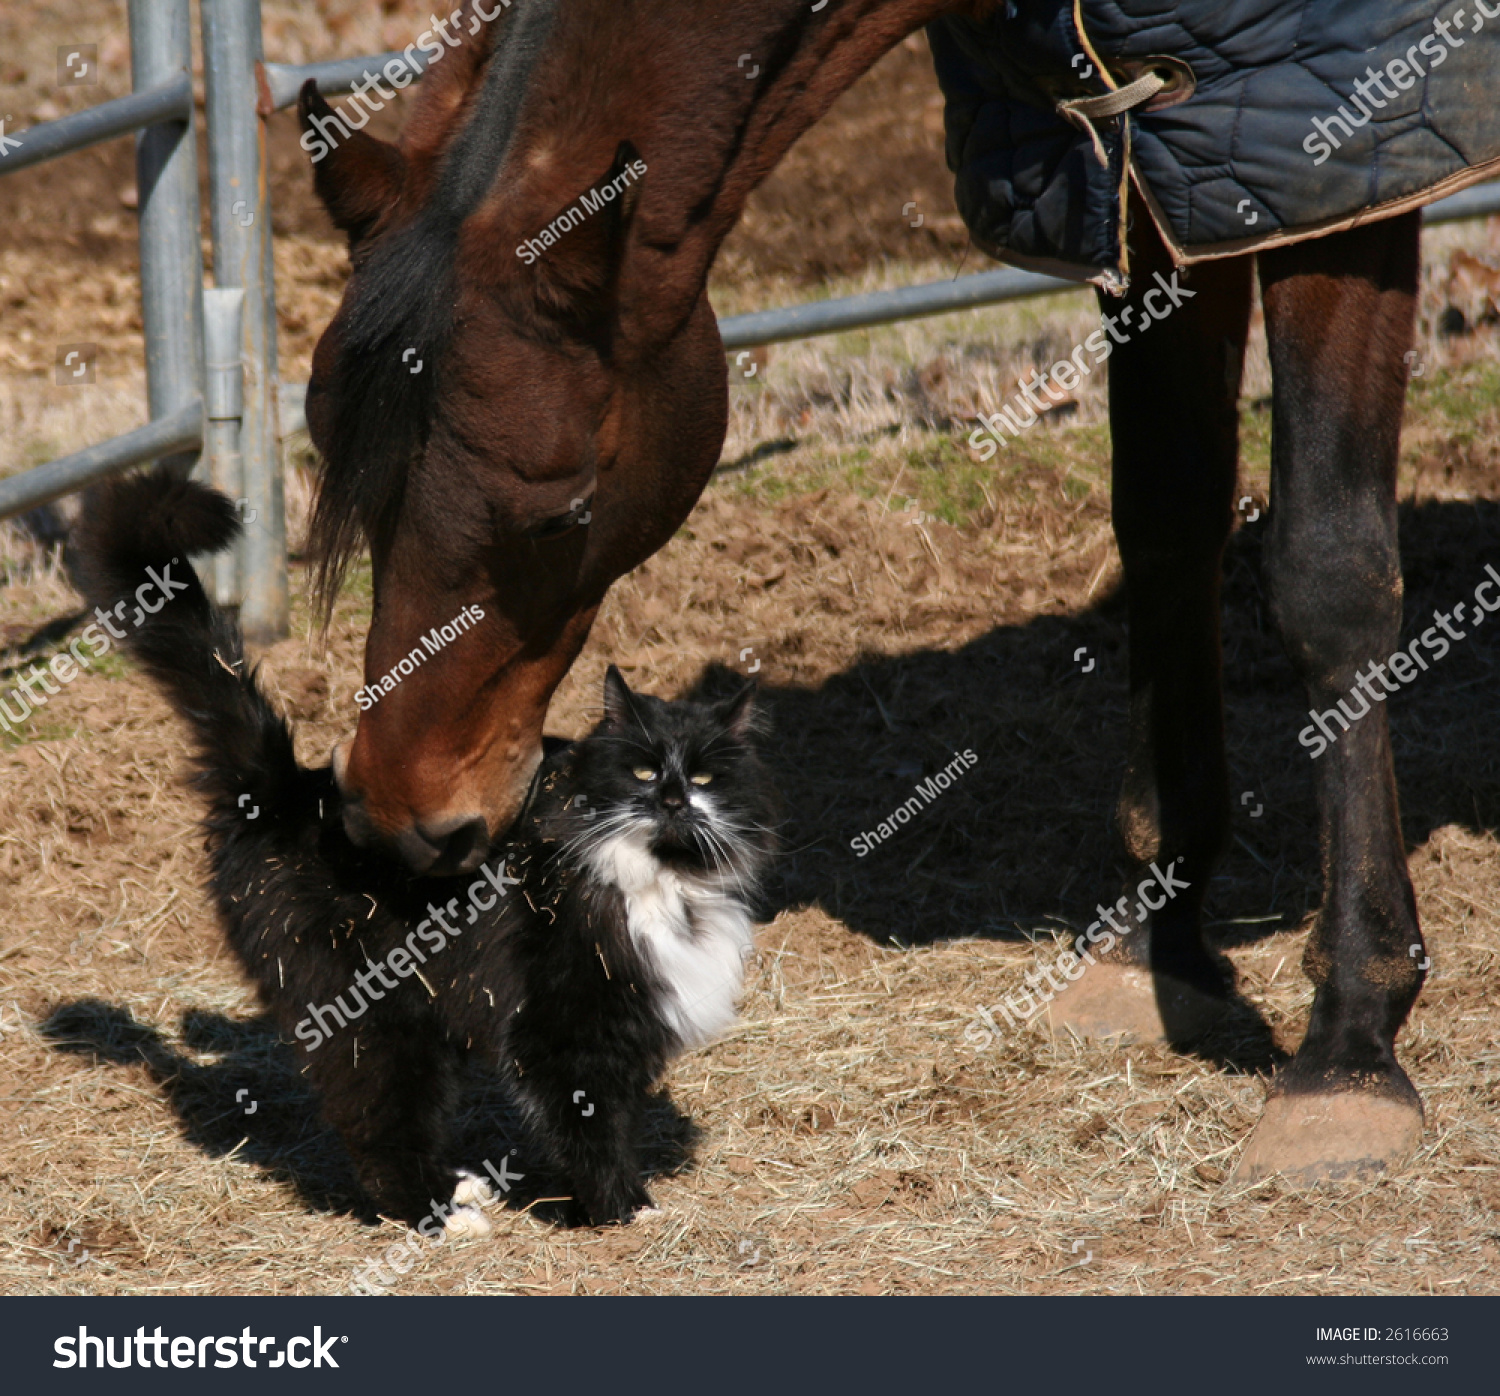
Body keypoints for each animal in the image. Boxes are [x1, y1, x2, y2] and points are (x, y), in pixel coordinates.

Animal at [76, 473, 780, 1229]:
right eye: (645, 772)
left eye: (705, 778)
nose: (674, 799)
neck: (659, 882)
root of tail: (285, 789)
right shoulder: (561, 1033)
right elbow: (593, 1129)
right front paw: (624, 1210)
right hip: (376, 1015)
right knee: (380, 1123)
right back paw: (438, 1215)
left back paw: (459, 1187)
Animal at [289, 0, 1440, 1187]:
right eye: (328, 443)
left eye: (562, 512)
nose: (398, 813)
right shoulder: (1148, 180)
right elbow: (1168, 522)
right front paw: (1156, 935)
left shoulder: (1324, 180)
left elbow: (1329, 572)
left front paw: (1351, 1042)